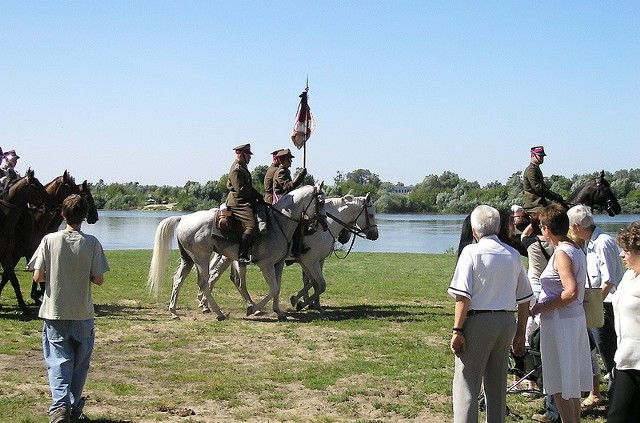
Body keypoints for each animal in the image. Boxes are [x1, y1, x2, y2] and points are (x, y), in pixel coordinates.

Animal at [148, 185, 328, 322]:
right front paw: (253, 308)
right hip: (202, 258)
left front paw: (279, 311)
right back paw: (218, 313)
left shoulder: (278, 264)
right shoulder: (266, 264)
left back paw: (174, 312)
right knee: (205, 282)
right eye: (321, 201)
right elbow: (273, 288)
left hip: (189, 259)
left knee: (178, 280)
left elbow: (277, 288)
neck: (279, 224)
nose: (324, 225)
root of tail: (183, 218)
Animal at [202, 194, 378, 314]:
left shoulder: (315, 261)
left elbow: (312, 282)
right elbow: (319, 284)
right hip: (232, 258)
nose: (375, 235)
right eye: (371, 214)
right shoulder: (310, 260)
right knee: (222, 278)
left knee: (225, 278)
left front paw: (310, 303)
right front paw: (301, 303)